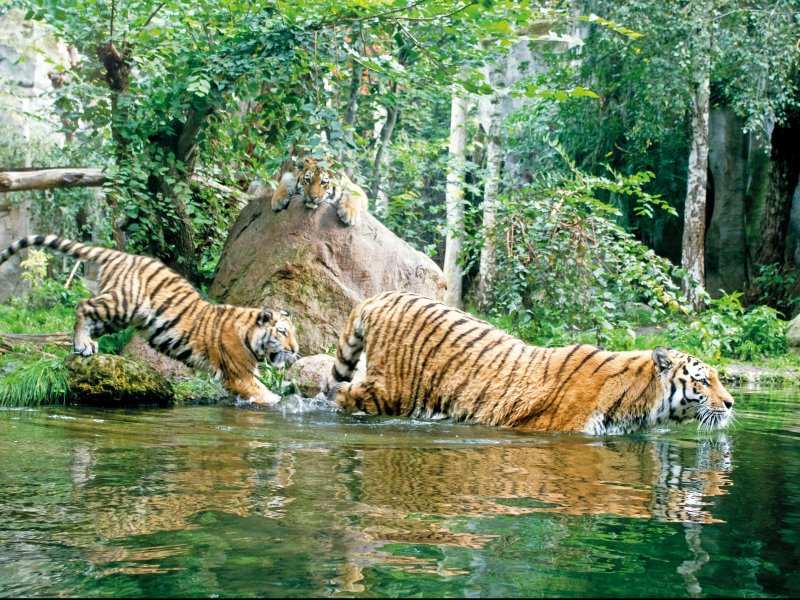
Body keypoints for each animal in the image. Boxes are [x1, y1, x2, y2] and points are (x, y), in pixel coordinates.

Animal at [0, 235, 300, 405]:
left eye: (292, 333)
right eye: (282, 332)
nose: (296, 350)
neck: (250, 334)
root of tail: (121, 254)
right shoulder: (239, 374)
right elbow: (265, 395)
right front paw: (280, 402)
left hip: (120, 317)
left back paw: (88, 345)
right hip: (122, 304)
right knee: (83, 305)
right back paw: (83, 345)